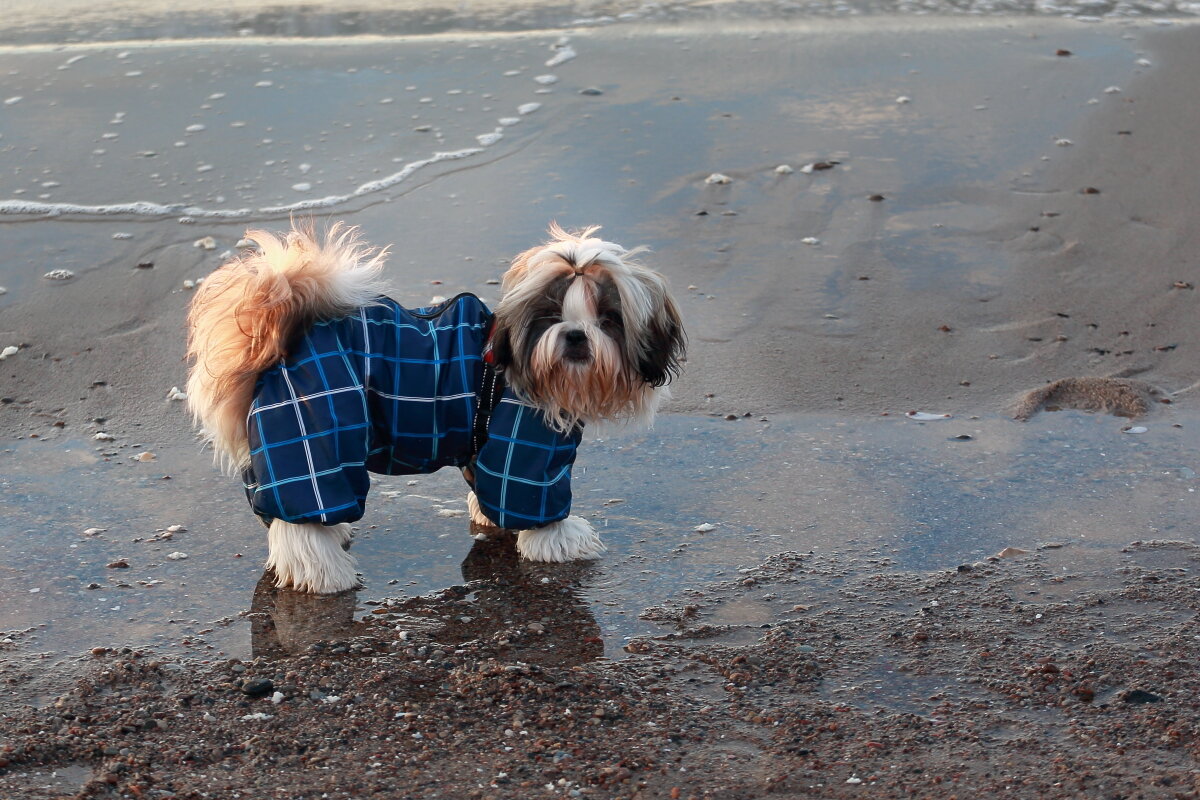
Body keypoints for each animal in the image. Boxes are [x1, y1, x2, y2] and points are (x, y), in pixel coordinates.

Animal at [184, 224, 686, 594]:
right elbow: (530, 498)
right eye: (549, 317)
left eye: (608, 319)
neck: (513, 363)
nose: (576, 336)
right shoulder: (524, 447)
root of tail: (280, 346)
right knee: (304, 519)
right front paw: (563, 538)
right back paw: (327, 574)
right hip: (315, 433)